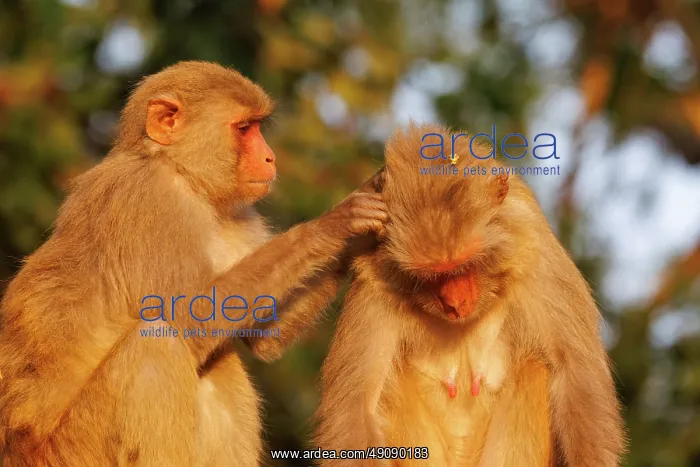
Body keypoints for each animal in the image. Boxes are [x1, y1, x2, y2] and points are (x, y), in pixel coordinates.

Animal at [0, 61, 388, 467]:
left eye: (258, 126)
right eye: (244, 128)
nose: (270, 158)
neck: (185, 178)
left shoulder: (239, 215)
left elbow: (265, 336)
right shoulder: (149, 198)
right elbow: (188, 318)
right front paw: (333, 224)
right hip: (74, 451)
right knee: (157, 342)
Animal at [315, 123, 625, 467]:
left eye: (464, 266)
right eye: (430, 276)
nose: (454, 302)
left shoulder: (538, 258)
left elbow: (575, 376)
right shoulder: (372, 286)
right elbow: (357, 410)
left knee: (534, 368)